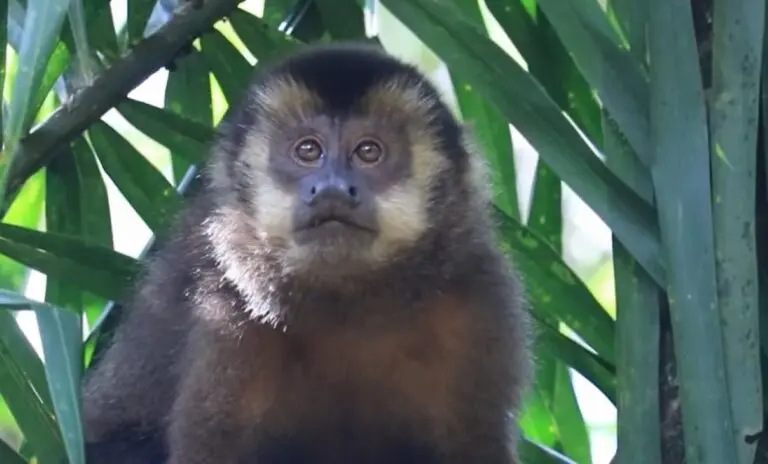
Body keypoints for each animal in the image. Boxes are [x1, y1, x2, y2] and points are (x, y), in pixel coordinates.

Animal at [81, 42, 532, 463]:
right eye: (308, 151)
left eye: (369, 152)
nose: (332, 190)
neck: (348, 308)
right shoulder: (226, 313)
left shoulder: (479, 303)